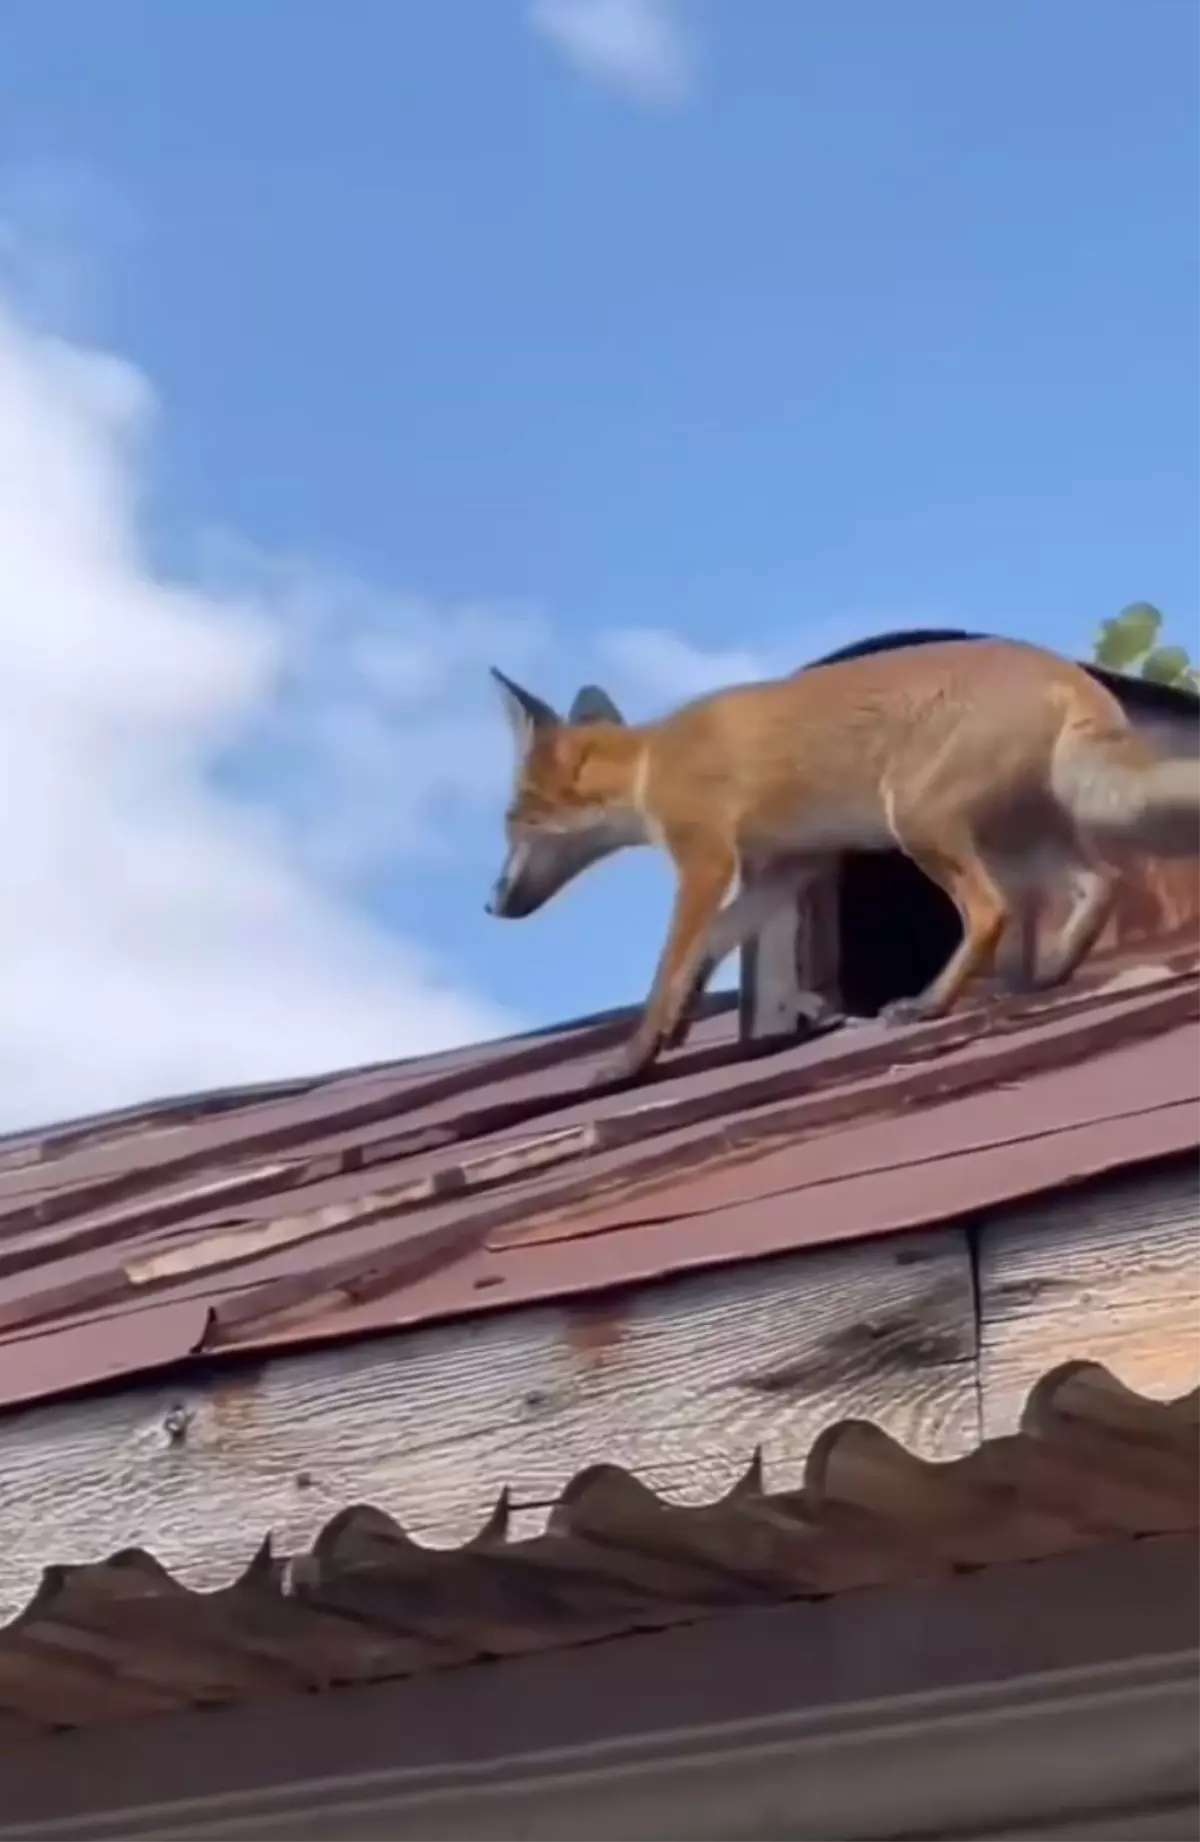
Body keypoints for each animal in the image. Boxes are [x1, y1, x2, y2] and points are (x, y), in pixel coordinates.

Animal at [486, 641, 1200, 1083]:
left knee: (990, 911)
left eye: (512, 819)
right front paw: (674, 1025)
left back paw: (928, 1005)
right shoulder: (788, 868)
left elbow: (669, 963)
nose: (490, 902)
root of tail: (1068, 673)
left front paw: (632, 1057)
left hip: (920, 822)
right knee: (1100, 883)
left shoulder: (706, 860)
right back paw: (1047, 975)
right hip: (1020, 840)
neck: (650, 761)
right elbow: (711, 944)